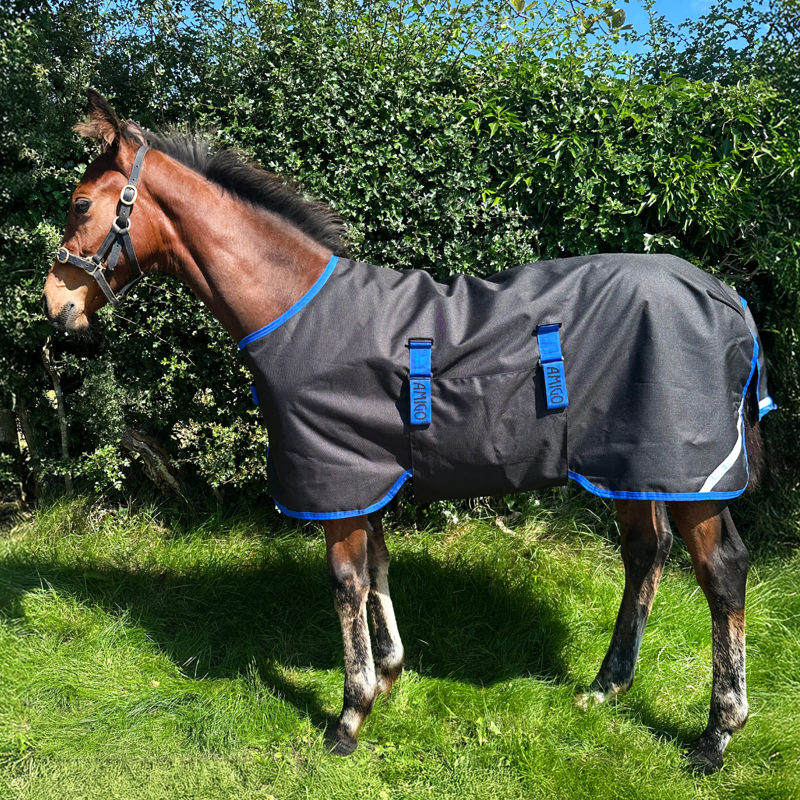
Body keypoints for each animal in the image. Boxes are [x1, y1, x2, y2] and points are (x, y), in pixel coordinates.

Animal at [42, 90, 774, 772]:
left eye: (80, 204)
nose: (56, 306)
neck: (297, 308)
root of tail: (725, 295)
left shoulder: (337, 478)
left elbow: (346, 582)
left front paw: (350, 714)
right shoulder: (363, 475)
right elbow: (377, 565)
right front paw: (390, 675)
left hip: (689, 473)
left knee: (721, 572)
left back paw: (716, 734)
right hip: (633, 467)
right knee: (646, 553)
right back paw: (606, 686)